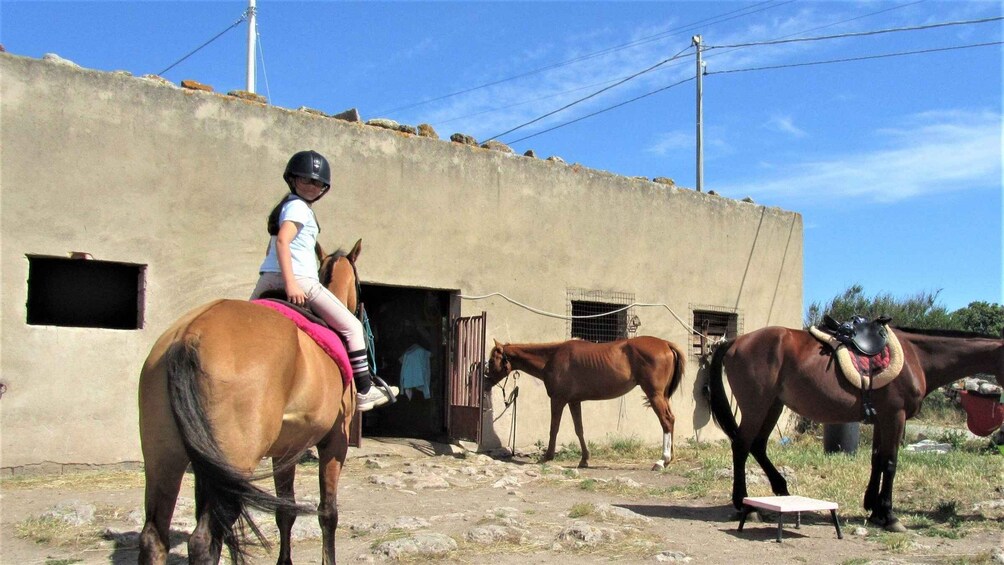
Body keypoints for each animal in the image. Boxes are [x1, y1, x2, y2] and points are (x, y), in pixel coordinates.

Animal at [137, 239, 365, 565]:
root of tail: (189, 334)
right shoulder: (335, 443)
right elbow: (328, 514)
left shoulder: (286, 452)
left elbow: (285, 511)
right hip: (235, 465)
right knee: (204, 541)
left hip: (165, 459)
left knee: (154, 538)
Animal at [483, 339, 686, 471]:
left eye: (492, 360)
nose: (485, 381)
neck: (552, 357)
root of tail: (665, 344)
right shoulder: (574, 401)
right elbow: (579, 429)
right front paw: (584, 460)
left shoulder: (558, 400)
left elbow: (554, 428)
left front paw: (547, 456)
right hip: (662, 396)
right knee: (672, 419)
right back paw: (669, 459)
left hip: (655, 395)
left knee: (666, 421)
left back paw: (661, 461)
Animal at [706, 325, 1003, 533]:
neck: (917, 357)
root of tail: (735, 342)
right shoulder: (895, 416)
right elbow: (891, 463)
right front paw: (889, 516)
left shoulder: (883, 419)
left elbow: (877, 460)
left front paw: (874, 509)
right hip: (757, 405)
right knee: (742, 446)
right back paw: (744, 504)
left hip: (773, 406)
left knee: (757, 446)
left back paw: (781, 490)